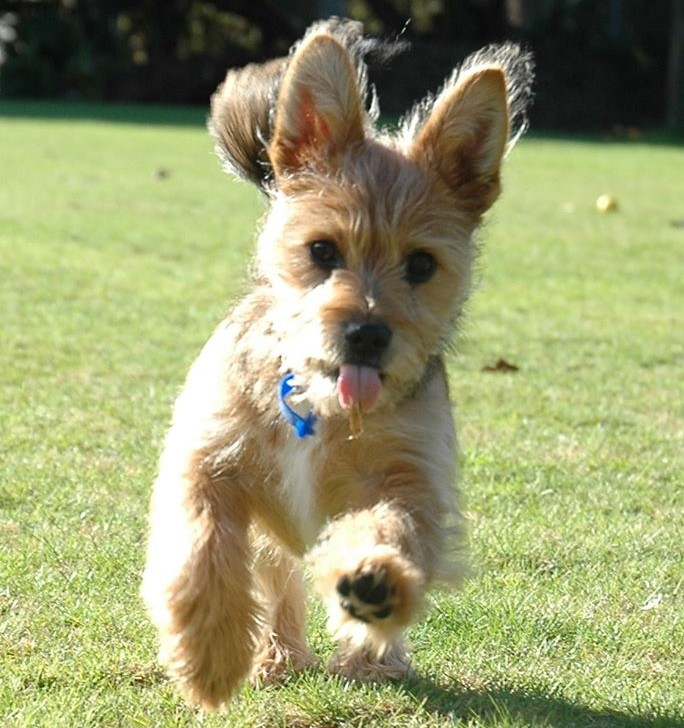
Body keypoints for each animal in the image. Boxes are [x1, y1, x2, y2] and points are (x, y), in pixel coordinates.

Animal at [140, 18, 536, 712]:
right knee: (275, 579)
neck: (318, 406)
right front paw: (209, 653)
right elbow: (202, 544)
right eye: (322, 250)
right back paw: (276, 655)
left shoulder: (410, 480)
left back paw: (374, 656)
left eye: (422, 265)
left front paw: (373, 580)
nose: (367, 334)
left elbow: (387, 529)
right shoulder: (206, 459)